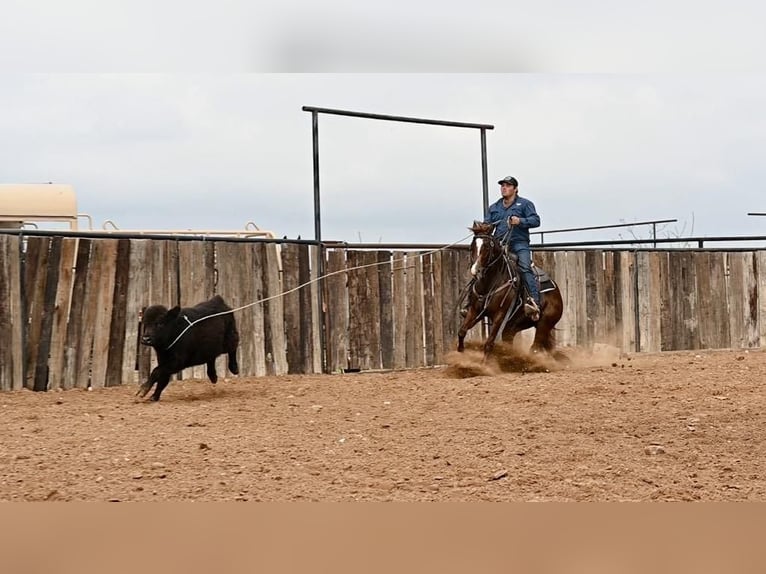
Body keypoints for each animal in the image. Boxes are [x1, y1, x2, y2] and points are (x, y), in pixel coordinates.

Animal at [456, 222, 564, 360]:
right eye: (472, 246)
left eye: (486, 247)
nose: (475, 271)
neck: (490, 282)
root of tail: (557, 292)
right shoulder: (475, 310)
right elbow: (462, 331)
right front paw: (460, 353)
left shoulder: (500, 315)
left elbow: (489, 343)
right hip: (512, 327)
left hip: (544, 324)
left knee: (534, 348)